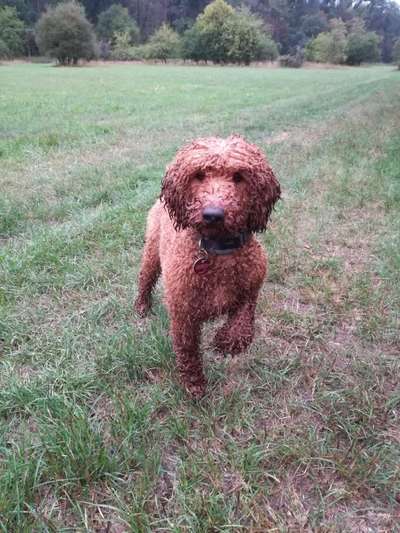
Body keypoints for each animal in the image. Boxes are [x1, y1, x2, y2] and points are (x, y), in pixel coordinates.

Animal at [136, 135, 280, 396]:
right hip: (152, 250)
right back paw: (142, 306)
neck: (218, 250)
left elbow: (244, 321)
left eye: (239, 176)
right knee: (145, 277)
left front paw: (225, 341)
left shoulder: (252, 286)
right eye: (199, 174)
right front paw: (195, 386)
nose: (213, 214)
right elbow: (188, 352)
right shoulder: (183, 314)